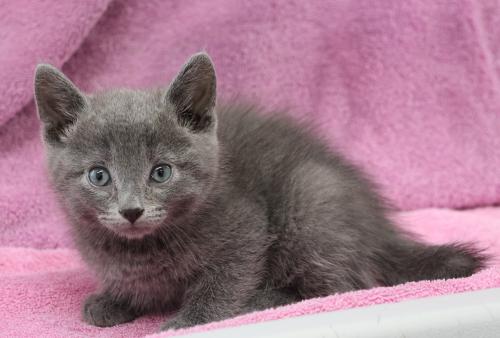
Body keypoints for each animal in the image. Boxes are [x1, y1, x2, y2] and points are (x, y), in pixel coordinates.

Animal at [34, 52, 484, 330]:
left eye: (161, 172)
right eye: (99, 176)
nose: (131, 211)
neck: (143, 247)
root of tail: (379, 230)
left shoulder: (244, 227)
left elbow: (224, 280)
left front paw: (188, 320)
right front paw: (112, 300)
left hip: (310, 197)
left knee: (341, 285)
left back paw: (264, 299)